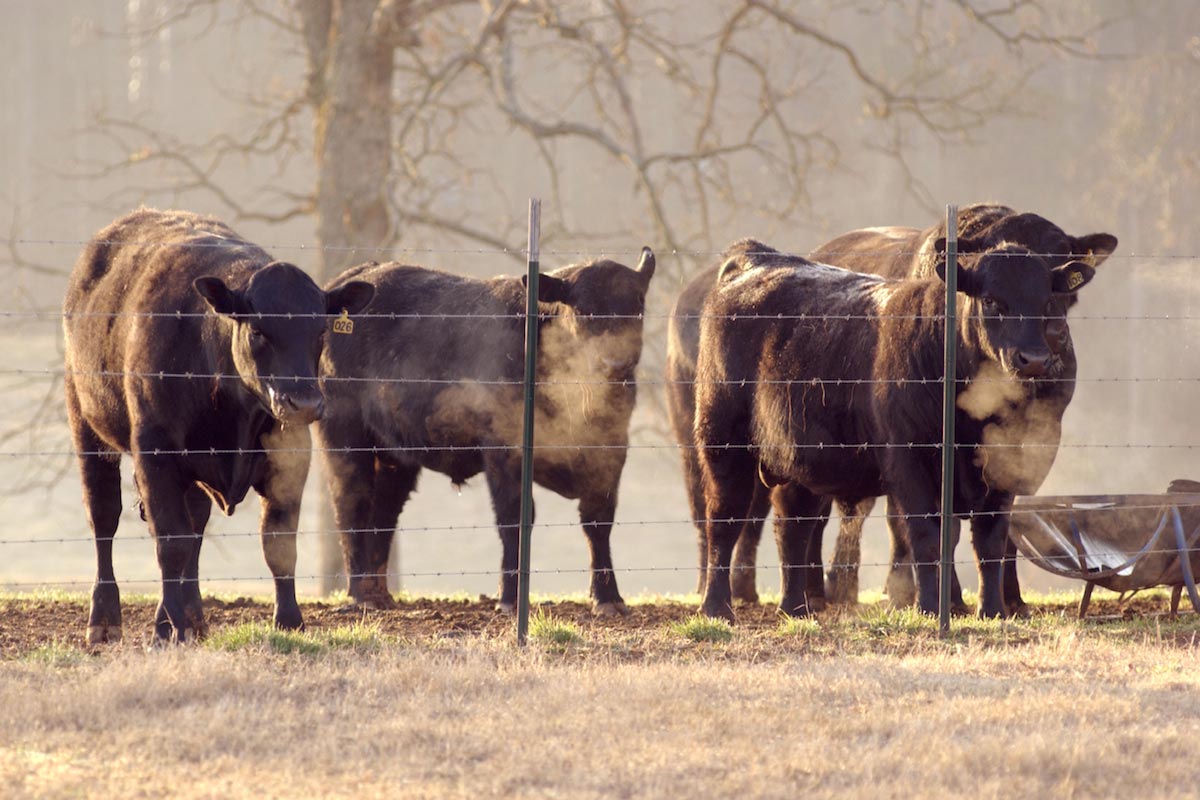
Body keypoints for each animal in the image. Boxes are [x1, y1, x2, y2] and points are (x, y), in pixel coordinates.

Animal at [64, 208, 374, 642]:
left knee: (195, 524)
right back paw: (106, 620)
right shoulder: (155, 452)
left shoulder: (291, 452)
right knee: (104, 516)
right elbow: (170, 542)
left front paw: (289, 620)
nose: (304, 402)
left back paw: (189, 616)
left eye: (321, 330)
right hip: (86, 424)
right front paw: (173, 628)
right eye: (258, 329)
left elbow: (278, 541)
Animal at [316, 247, 657, 618]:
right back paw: (359, 595)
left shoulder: (610, 452)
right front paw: (510, 598)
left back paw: (379, 594)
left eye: (638, 303)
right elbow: (515, 519)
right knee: (352, 504)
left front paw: (608, 598)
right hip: (345, 435)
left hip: (394, 455)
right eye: (582, 309)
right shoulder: (504, 451)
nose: (616, 363)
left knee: (384, 512)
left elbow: (598, 521)